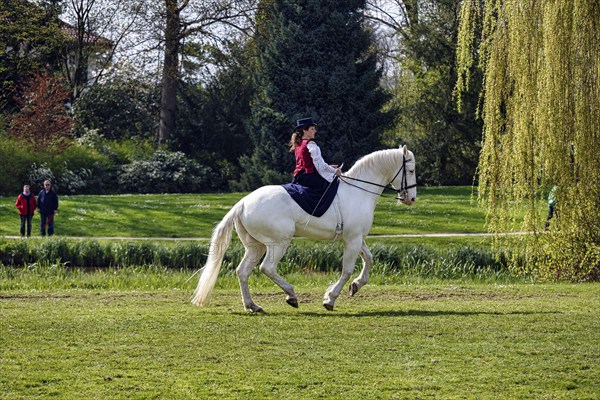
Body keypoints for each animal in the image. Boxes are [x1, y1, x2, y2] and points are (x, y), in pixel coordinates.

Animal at [192, 145, 418, 310]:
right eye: (411, 170)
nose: (412, 199)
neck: (359, 191)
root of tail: (242, 204)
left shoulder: (355, 238)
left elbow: (369, 259)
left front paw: (356, 285)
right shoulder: (353, 239)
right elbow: (346, 270)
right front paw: (330, 299)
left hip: (255, 246)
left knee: (243, 271)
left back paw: (252, 305)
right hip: (278, 243)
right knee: (267, 268)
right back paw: (291, 296)